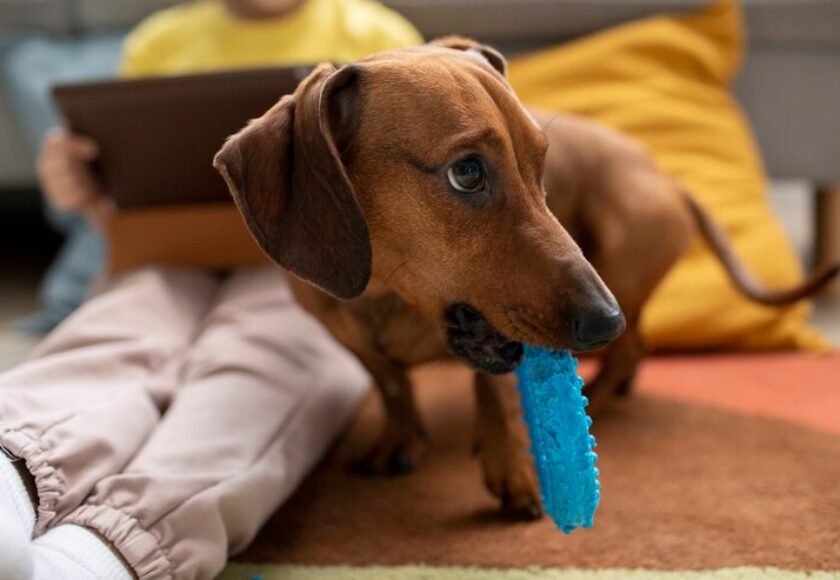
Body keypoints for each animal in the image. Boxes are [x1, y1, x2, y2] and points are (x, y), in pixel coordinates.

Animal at [215, 38, 832, 520]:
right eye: (466, 172)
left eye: (542, 164)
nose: (603, 321)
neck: (389, 297)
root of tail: (672, 181)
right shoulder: (350, 339)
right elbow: (392, 385)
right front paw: (400, 438)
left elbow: (493, 390)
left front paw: (513, 467)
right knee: (636, 344)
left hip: (620, 247)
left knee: (633, 347)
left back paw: (602, 397)